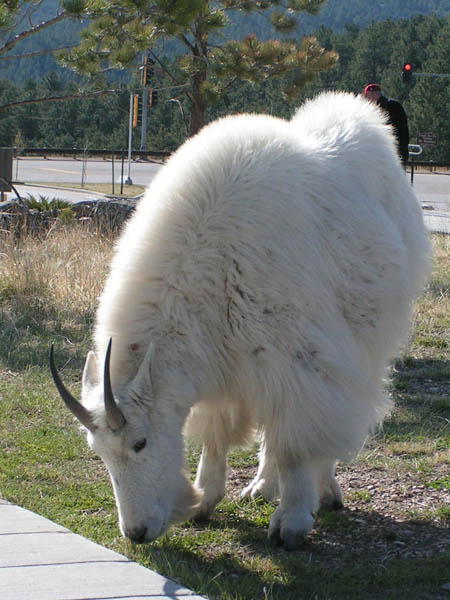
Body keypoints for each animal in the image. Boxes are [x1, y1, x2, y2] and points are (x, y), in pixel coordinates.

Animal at [51, 92, 430, 548]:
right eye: (99, 452)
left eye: (140, 443)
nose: (137, 533)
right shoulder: (219, 358)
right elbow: (218, 435)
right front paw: (204, 501)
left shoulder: (296, 359)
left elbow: (296, 443)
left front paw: (292, 522)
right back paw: (261, 486)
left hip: (369, 340)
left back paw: (325, 490)